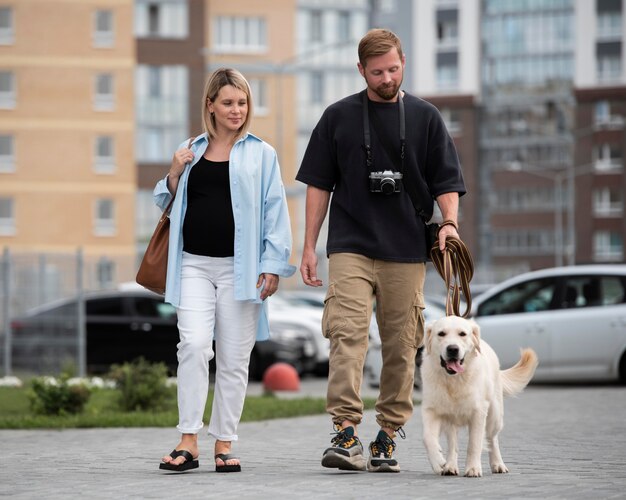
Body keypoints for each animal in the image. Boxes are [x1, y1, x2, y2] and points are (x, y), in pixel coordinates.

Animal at [416, 316, 532, 476]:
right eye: (441, 334)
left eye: (462, 334)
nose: (453, 349)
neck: (454, 381)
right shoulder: (431, 410)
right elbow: (427, 438)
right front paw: (439, 462)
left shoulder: (478, 412)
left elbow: (474, 444)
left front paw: (473, 468)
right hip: (451, 420)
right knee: (453, 445)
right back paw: (450, 466)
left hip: (495, 415)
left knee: (492, 439)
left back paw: (498, 464)